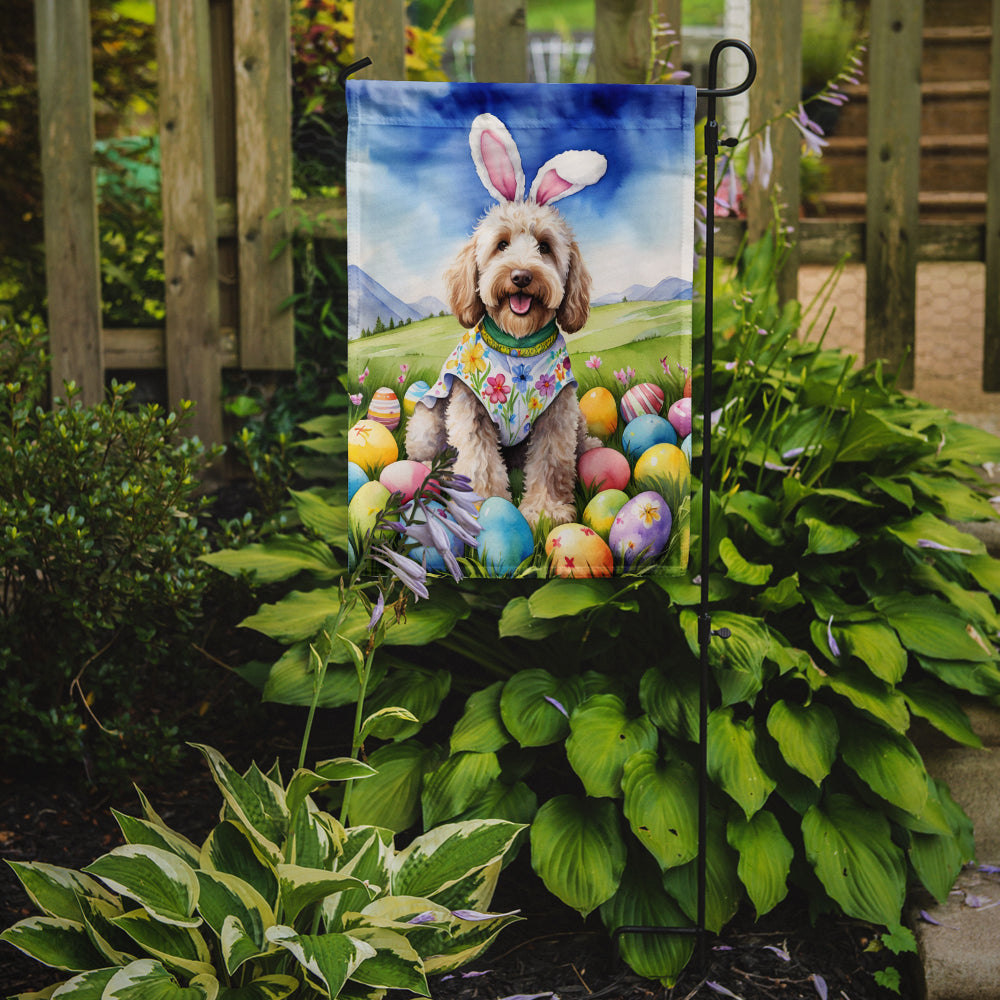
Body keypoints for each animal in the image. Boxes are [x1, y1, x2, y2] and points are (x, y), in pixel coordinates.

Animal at [406, 113, 608, 528]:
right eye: (501, 245)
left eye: (545, 247)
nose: (521, 276)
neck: (517, 347)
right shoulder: (470, 410)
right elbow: (480, 461)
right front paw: (483, 508)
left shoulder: (557, 414)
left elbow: (551, 462)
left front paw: (545, 511)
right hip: (426, 424)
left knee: (581, 443)